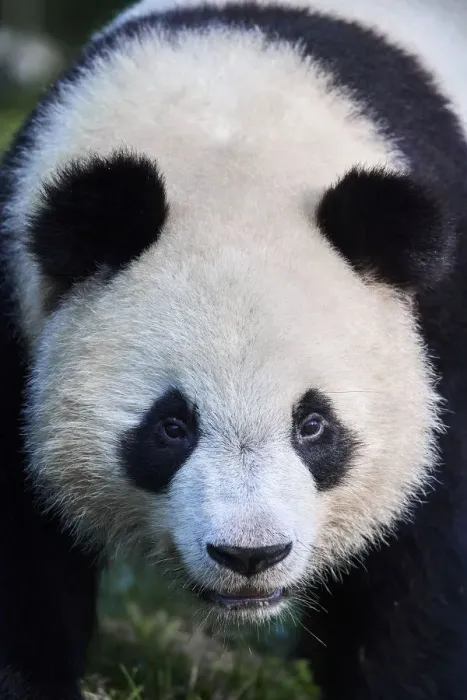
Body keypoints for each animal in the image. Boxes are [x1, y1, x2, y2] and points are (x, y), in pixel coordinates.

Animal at [1, 0, 467, 698]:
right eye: (172, 426)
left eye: (313, 424)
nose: (251, 555)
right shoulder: (17, 310)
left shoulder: (439, 326)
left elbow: (421, 571)